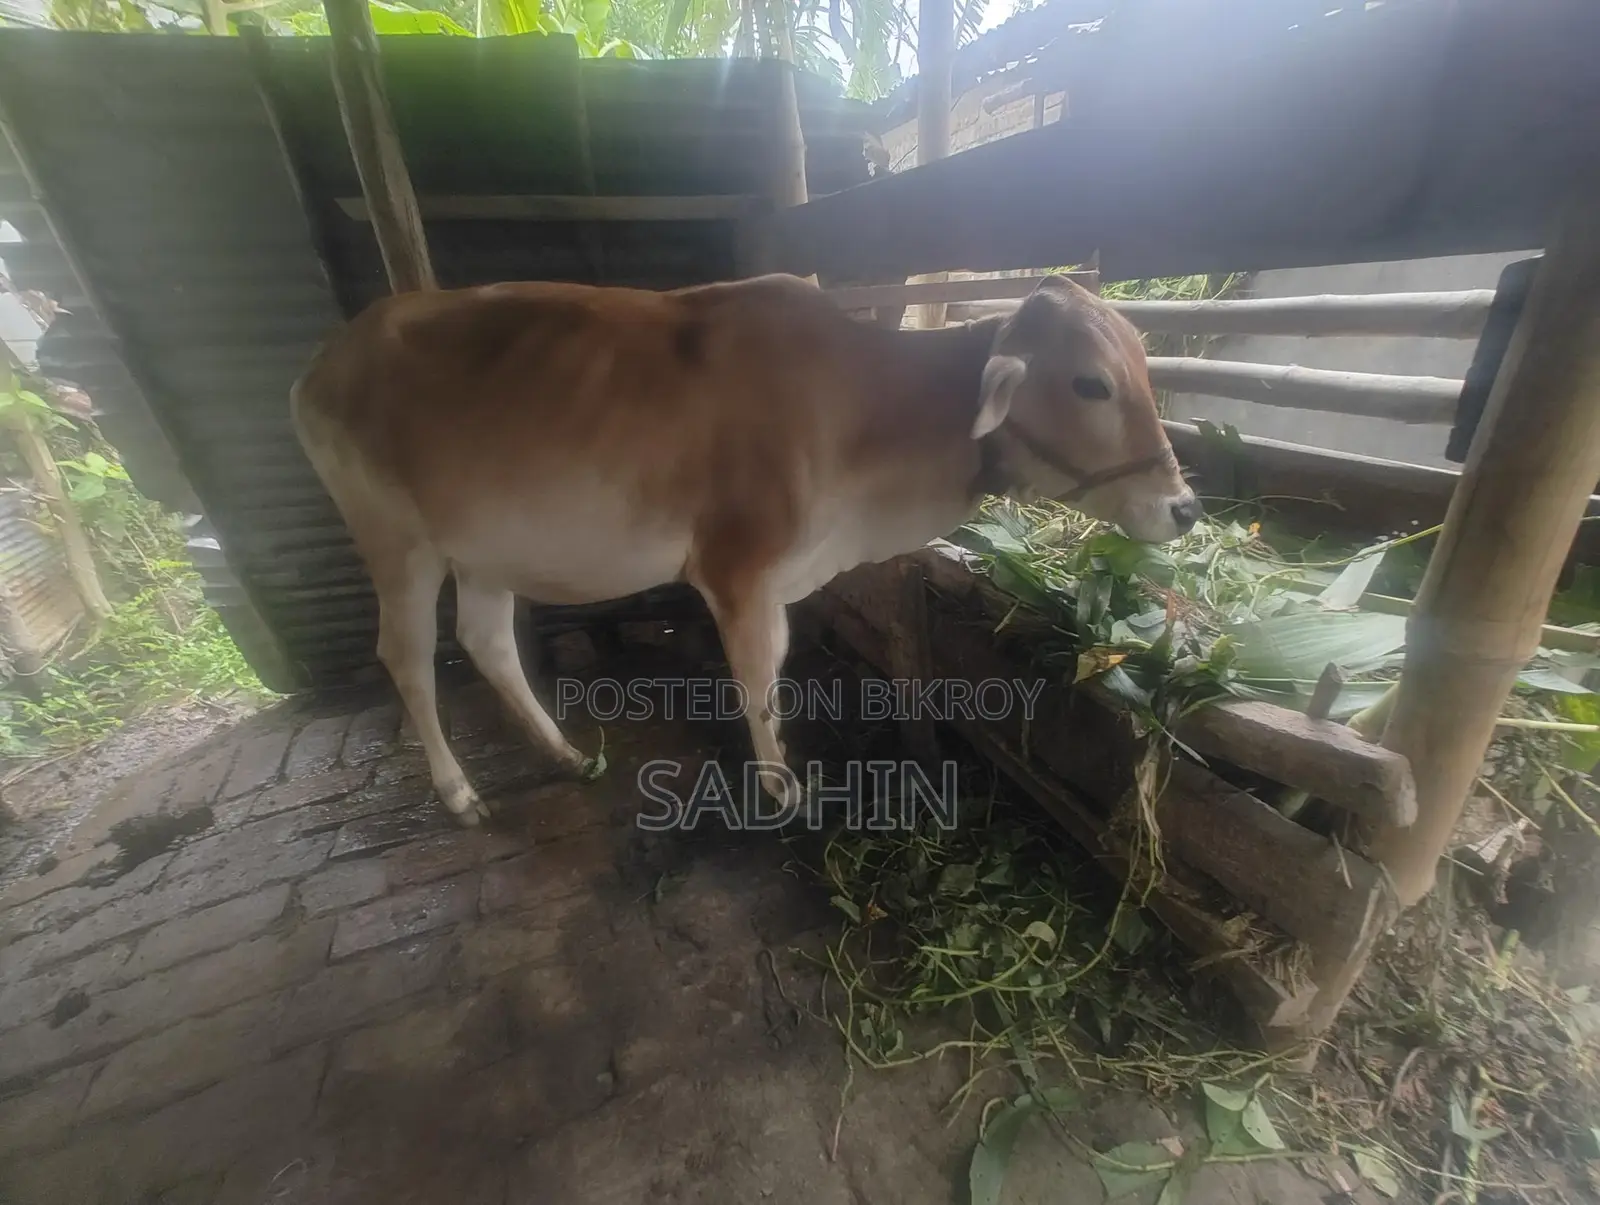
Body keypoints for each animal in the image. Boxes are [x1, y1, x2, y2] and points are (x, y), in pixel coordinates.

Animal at [290, 272, 1201, 826]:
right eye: (1091, 383)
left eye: (1145, 366)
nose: (1185, 507)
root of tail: (326, 360)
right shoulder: (741, 571)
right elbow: (760, 677)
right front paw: (782, 785)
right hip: (398, 544)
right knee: (406, 656)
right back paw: (458, 791)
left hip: (484, 549)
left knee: (484, 640)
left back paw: (566, 753)